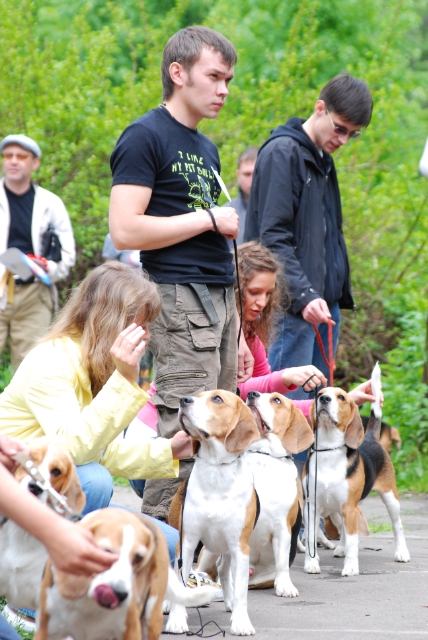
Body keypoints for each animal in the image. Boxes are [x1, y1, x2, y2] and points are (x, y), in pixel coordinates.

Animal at [167, 390, 260, 636]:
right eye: (197, 395)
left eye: (217, 399)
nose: (183, 400)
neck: (216, 470)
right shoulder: (187, 541)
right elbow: (180, 580)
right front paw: (176, 619)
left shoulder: (240, 547)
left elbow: (241, 591)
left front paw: (241, 622)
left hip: (225, 548)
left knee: (225, 571)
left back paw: (229, 603)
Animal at [244, 390, 314, 596]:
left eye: (276, 400)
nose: (251, 393)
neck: (264, 457)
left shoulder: (282, 527)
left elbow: (282, 562)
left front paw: (285, 586)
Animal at [302, 376, 410, 576]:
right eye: (319, 393)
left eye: (341, 397)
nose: (324, 399)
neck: (329, 450)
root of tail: (370, 437)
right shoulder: (311, 507)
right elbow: (312, 537)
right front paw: (311, 563)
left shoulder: (350, 507)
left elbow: (353, 540)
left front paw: (351, 567)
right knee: (344, 529)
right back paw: (340, 548)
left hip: (390, 498)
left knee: (397, 525)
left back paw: (402, 552)